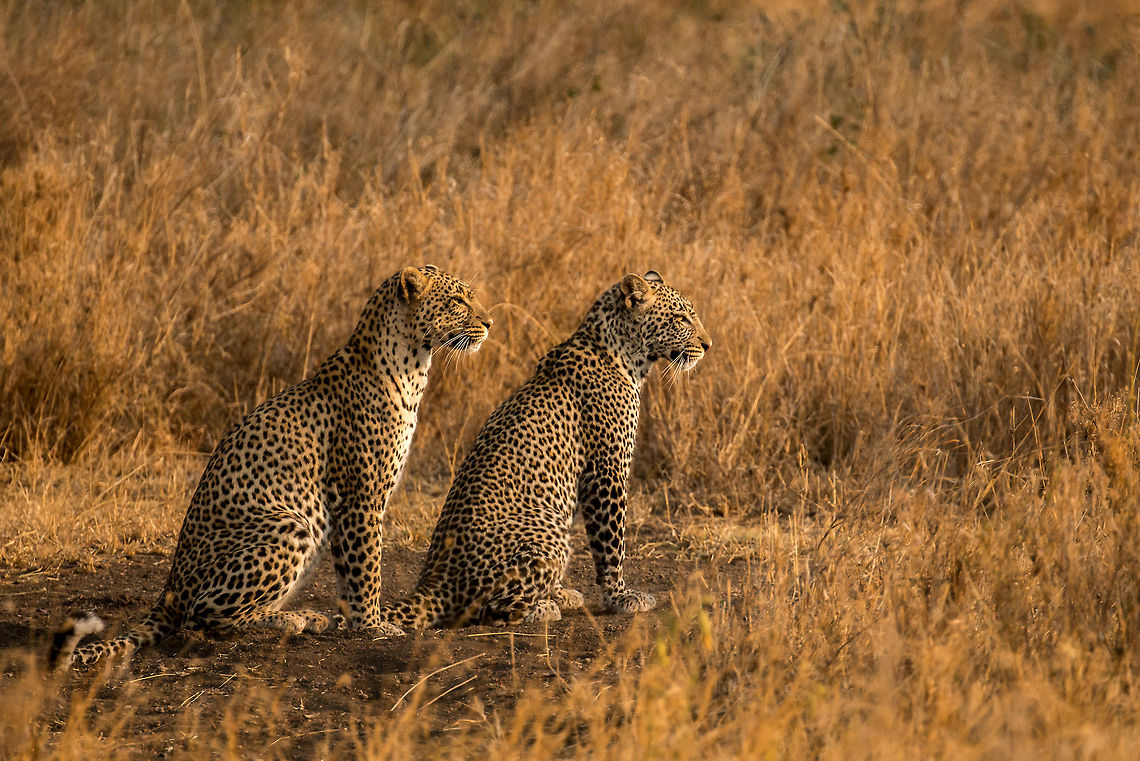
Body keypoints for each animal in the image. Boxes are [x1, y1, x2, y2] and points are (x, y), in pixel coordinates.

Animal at [48, 265, 493, 669]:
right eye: (458, 301)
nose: (489, 323)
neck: (412, 365)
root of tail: (170, 587)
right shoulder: (361, 498)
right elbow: (366, 567)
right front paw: (373, 625)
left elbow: (351, 572)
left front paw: (358, 622)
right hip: (290, 525)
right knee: (203, 614)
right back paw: (293, 619)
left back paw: (307, 616)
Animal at [373, 270, 711, 632]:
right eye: (682, 318)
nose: (708, 345)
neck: (626, 356)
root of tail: (434, 583)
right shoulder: (608, 470)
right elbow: (611, 542)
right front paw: (621, 597)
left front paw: (569, 592)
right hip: (546, 533)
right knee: (487, 610)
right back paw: (541, 608)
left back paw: (553, 597)